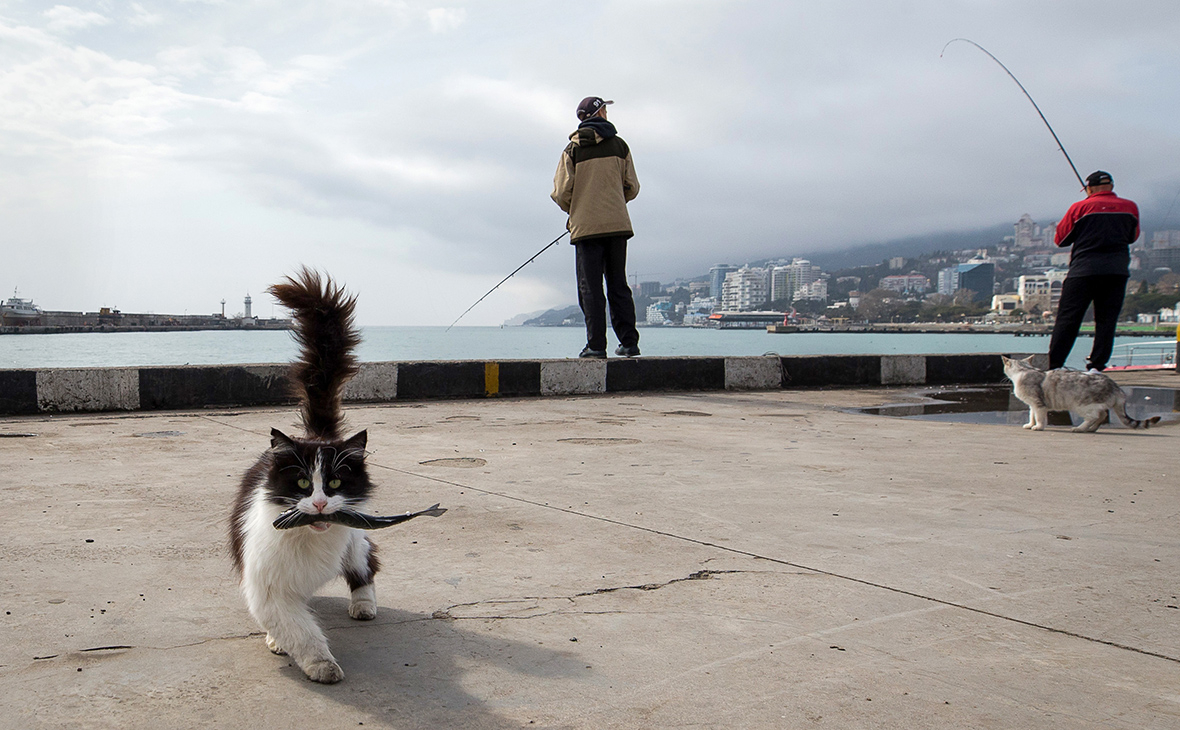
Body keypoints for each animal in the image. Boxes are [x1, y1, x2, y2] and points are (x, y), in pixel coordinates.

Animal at [230, 270, 377, 684]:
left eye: (336, 483)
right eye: (301, 484)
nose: (321, 503)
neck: (307, 540)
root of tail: (318, 436)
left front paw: (321, 664)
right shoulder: (267, 583)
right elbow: (297, 627)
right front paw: (318, 662)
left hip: (355, 542)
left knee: (367, 566)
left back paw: (364, 605)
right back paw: (275, 641)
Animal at [1000, 356, 1156, 433]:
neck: (1024, 370)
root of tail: (1115, 386)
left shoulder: (1038, 404)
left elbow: (1039, 417)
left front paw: (1038, 426)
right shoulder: (1033, 404)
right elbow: (1031, 415)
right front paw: (1030, 424)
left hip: (1082, 405)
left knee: (1094, 416)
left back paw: (1080, 428)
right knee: (1102, 415)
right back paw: (1091, 429)